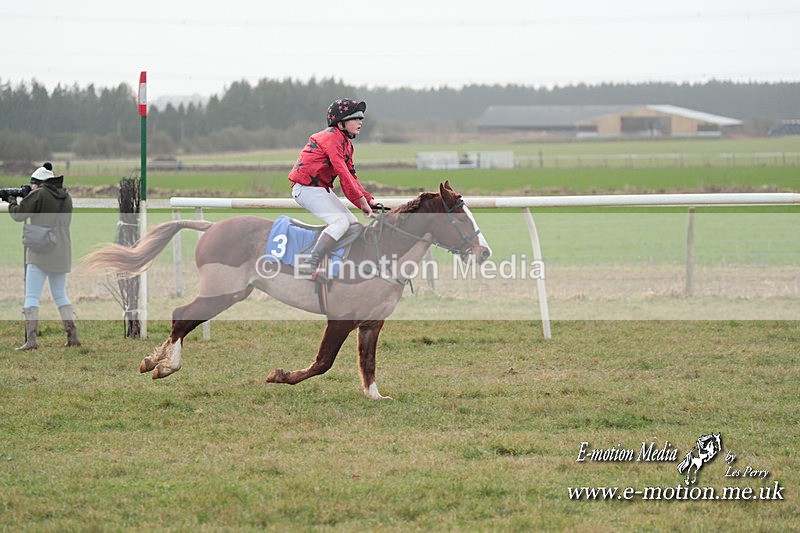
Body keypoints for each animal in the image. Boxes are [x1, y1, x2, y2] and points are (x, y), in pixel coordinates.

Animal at [85, 181, 492, 399]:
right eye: (459, 218)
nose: (484, 251)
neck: (381, 253)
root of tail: (212, 227)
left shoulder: (371, 323)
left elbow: (368, 362)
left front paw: (376, 395)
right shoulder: (340, 319)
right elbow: (323, 363)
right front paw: (279, 376)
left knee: (184, 318)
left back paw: (154, 360)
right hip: (224, 292)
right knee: (182, 316)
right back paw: (164, 365)